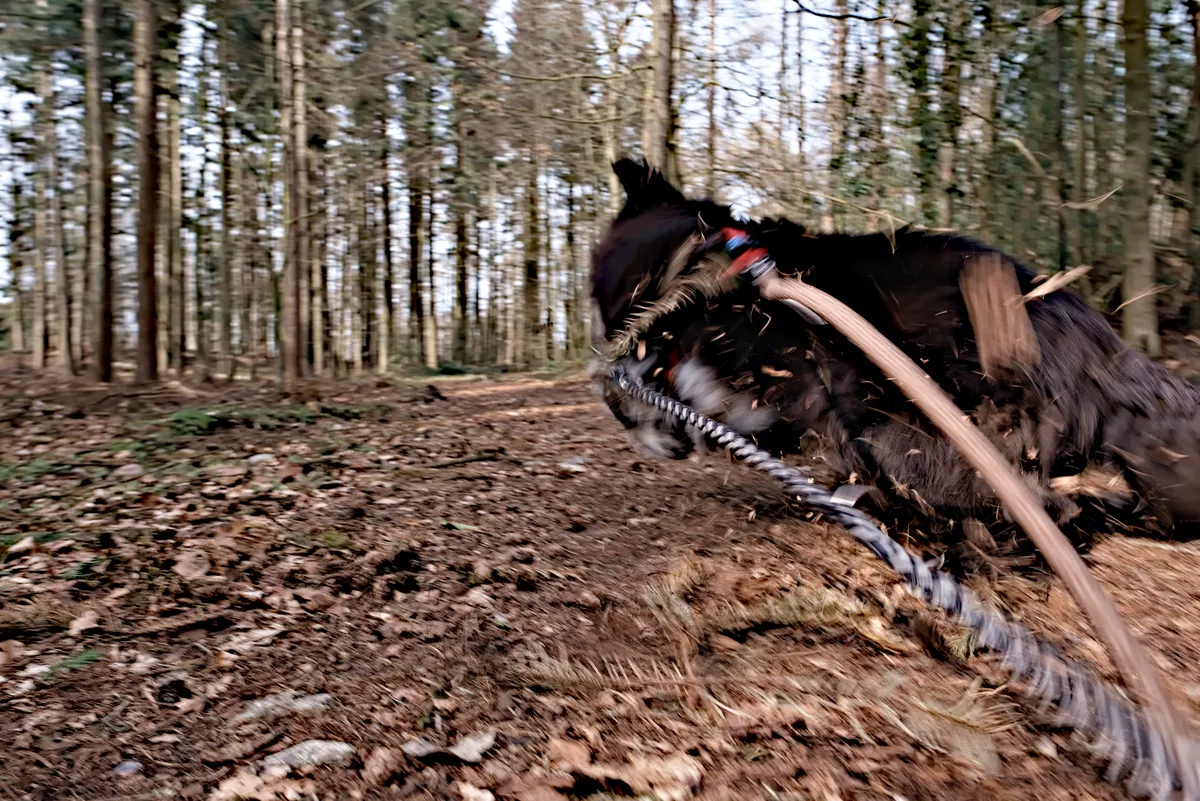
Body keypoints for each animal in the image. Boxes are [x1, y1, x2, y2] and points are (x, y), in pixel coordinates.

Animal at [590, 155, 1200, 544]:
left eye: (612, 306)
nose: (608, 378)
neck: (718, 277)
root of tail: (1110, 361)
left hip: (919, 414)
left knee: (1043, 503)